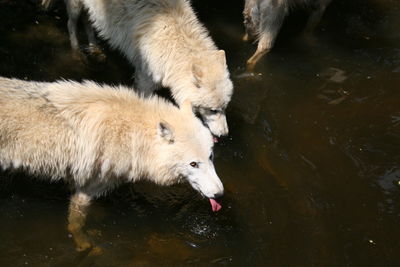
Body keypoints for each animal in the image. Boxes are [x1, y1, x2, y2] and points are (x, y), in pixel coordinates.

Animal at [0, 77, 223, 251]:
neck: (132, 134)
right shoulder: (87, 190)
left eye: (211, 156)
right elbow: (76, 223)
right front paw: (84, 245)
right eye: (193, 164)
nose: (220, 194)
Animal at [41, 0, 233, 138]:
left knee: (89, 23)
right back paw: (76, 51)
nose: (225, 135)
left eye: (224, 107)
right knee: (70, 24)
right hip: (76, 7)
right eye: (213, 110)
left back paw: (95, 48)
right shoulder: (144, 80)